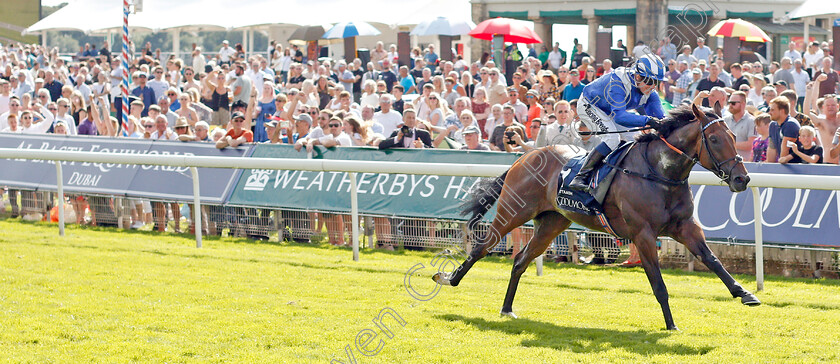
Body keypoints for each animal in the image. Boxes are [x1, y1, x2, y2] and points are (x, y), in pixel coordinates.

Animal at [434, 104, 760, 332]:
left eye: (735, 136)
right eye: (714, 139)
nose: (742, 179)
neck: (659, 172)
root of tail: (525, 156)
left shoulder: (686, 227)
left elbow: (712, 260)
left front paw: (745, 293)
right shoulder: (643, 234)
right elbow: (658, 284)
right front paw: (671, 324)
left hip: (552, 222)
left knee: (520, 260)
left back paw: (506, 308)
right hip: (513, 211)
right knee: (482, 247)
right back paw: (449, 278)